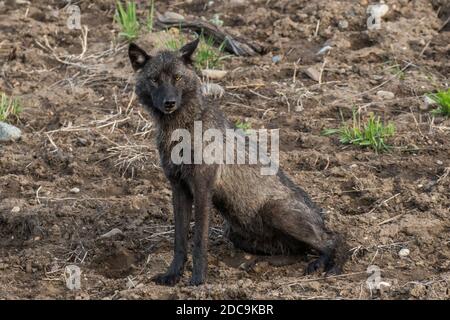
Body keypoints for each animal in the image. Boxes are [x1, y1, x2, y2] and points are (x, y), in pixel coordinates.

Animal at [129, 38, 348, 286]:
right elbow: (180, 241)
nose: (169, 103)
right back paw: (259, 264)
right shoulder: (179, 187)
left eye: (177, 77)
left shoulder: (202, 189)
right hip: (236, 233)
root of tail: (320, 216)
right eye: (154, 79)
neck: (180, 128)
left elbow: (199, 242)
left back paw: (330, 267)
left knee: (335, 238)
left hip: (275, 212)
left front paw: (198, 280)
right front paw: (172, 275)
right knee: (298, 251)